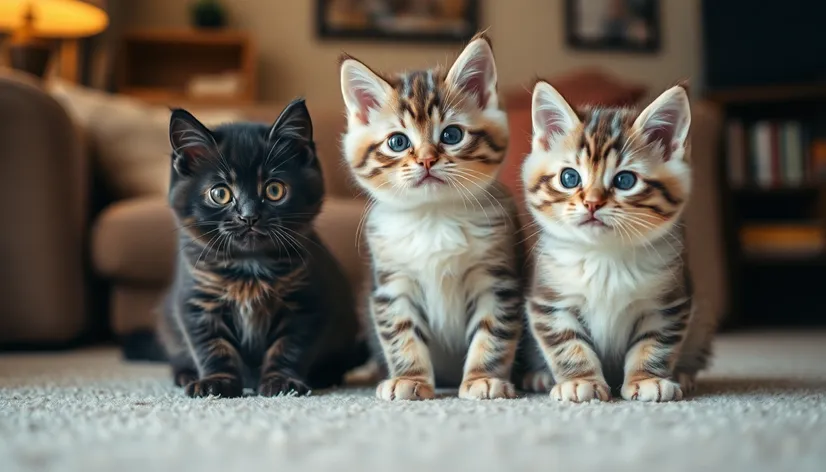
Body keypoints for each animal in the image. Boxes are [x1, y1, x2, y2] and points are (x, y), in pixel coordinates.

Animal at [157, 99, 360, 398]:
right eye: (220, 193)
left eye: (274, 190)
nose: (249, 216)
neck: (249, 266)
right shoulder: (198, 302)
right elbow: (212, 347)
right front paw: (216, 382)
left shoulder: (306, 303)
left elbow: (289, 348)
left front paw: (281, 382)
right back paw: (184, 375)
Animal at [336, 33, 520, 400]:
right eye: (397, 141)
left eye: (451, 135)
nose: (426, 160)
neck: (434, 218)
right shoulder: (393, 284)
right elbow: (401, 334)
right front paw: (410, 379)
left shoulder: (496, 279)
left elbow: (492, 331)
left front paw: (482, 378)